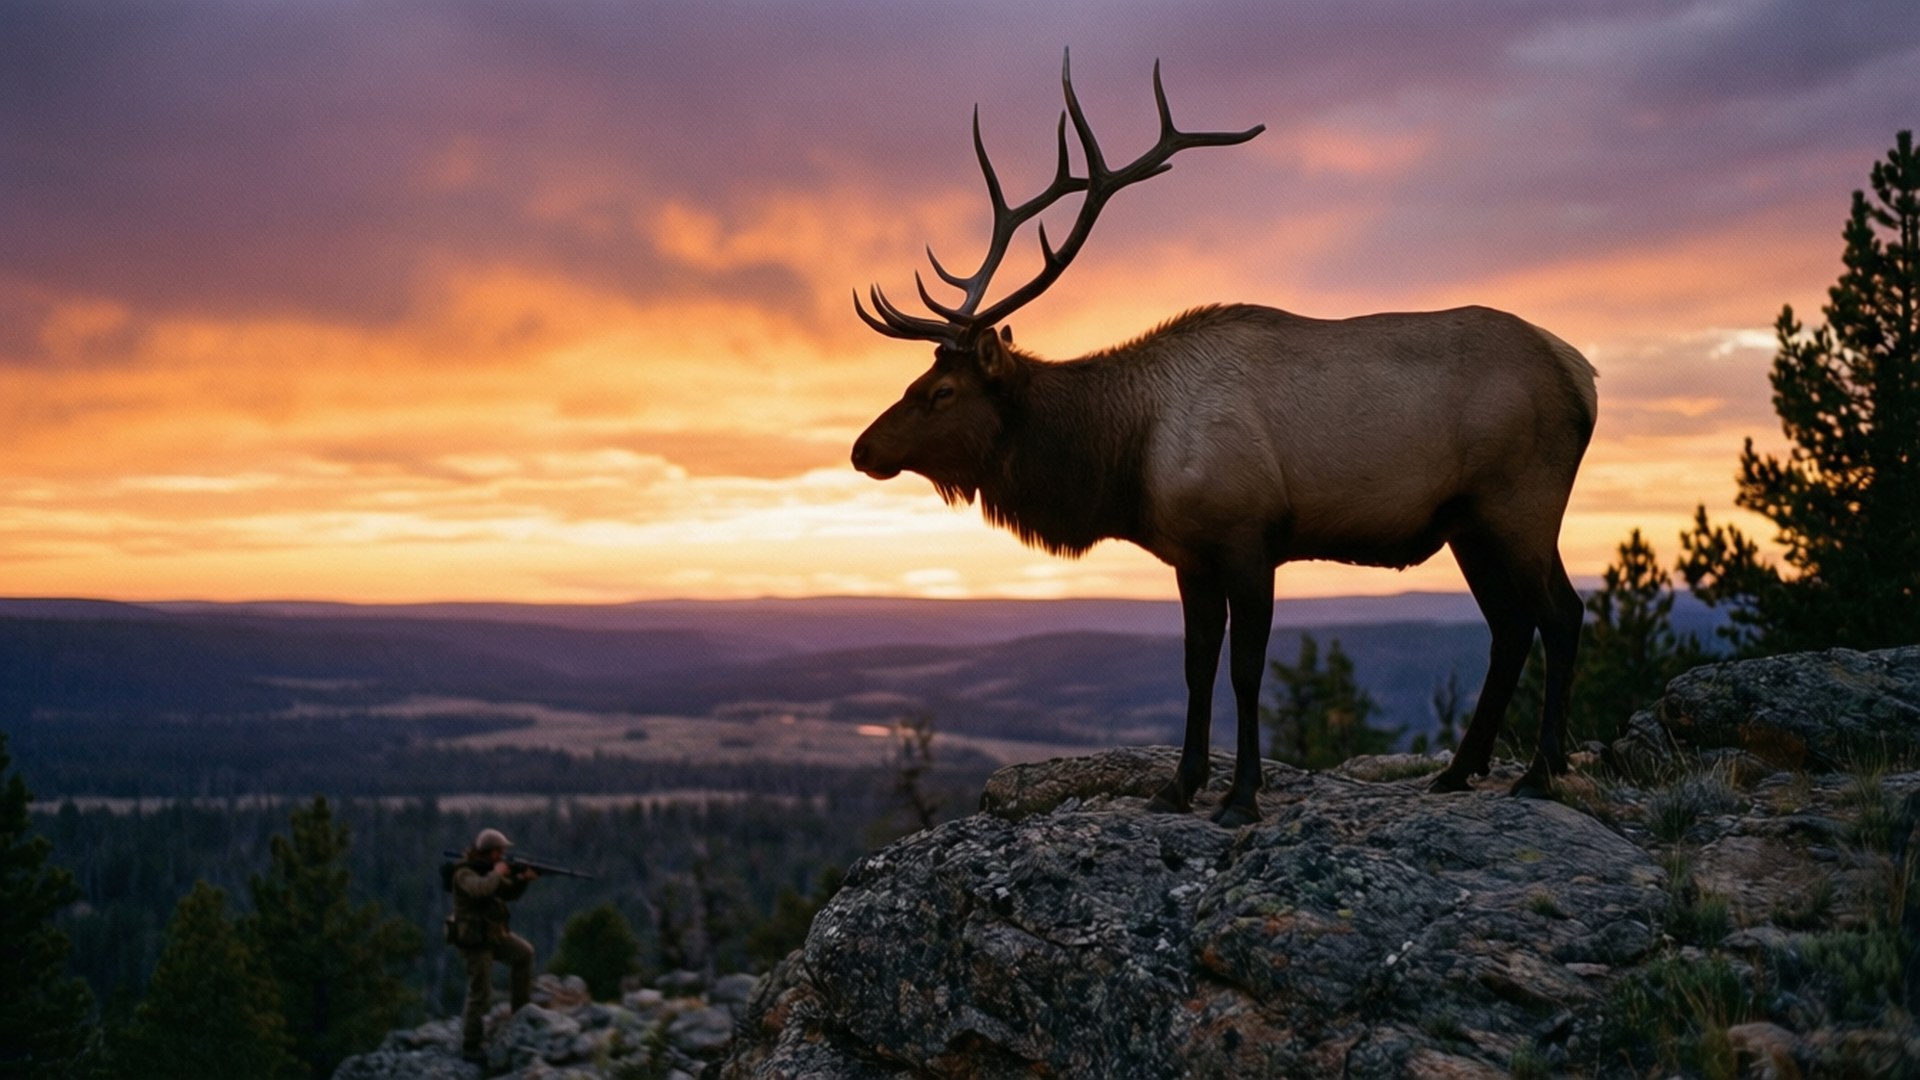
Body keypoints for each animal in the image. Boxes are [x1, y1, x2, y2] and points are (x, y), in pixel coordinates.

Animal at [850, 53, 1596, 827]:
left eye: (942, 391)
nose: (861, 450)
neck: (1129, 457)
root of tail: (1581, 375)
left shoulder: (1248, 533)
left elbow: (1245, 668)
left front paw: (1240, 795)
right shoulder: (1191, 554)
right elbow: (1197, 663)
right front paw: (1178, 785)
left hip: (1520, 503)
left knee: (1562, 614)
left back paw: (1538, 774)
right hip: (1468, 523)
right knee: (1510, 626)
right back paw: (1456, 771)